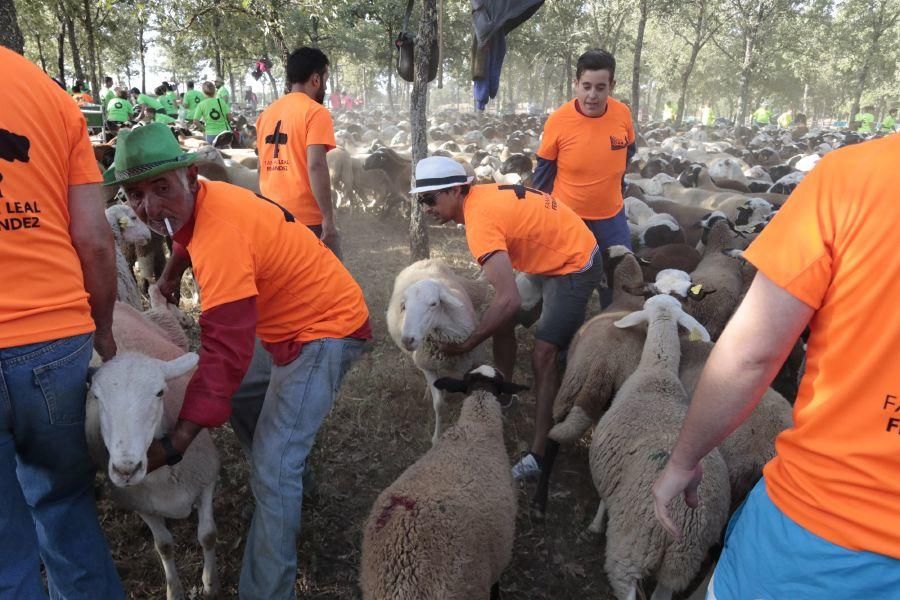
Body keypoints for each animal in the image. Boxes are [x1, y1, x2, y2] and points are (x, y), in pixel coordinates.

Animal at [86, 304, 221, 600]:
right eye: (96, 398)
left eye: (159, 392)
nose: (126, 469)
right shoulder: (141, 503)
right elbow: (164, 546)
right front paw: (174, 590)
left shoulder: (206, 478)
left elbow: (207, 536)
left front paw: (210, 584)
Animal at [384, 258, 488, 446]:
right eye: (404, 306)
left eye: (433, 304)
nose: (407, 340)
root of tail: (424, 260)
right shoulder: (428, 367)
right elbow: (438, 404)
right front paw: (437, 438)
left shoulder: (471, 364)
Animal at [588, 294, 728, 600]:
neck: (658, 373)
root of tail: (685, 519)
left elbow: (604, 497)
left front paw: (595, 524)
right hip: (681, 564)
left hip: (631, 546)